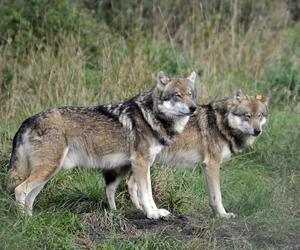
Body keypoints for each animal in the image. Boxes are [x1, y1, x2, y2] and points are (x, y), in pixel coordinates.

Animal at [7, 71, 197, 219]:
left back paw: (31, 219)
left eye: (190, 94)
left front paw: (154, 212)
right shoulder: (141, 163)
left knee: (30, 197)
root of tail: (29, 120)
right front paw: (153, 214)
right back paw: (24, 221)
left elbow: (142, 191)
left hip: (48, 173)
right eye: (177, 95)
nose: (193, 108)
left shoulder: (142, 164)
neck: (150, 116)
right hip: (48, 170)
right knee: (20, 190)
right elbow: (147, 193)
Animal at [102, 91, 268, 218]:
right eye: (247, 115)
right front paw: (223, 215)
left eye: (260, 116)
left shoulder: (207, 167)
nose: (257, 131)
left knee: (130, 184)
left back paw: (139, 209)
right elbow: (217, 196)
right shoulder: (212, 165)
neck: (221, 123)